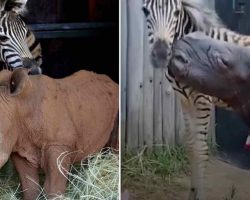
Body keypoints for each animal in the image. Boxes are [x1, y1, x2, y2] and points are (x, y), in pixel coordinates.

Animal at [0, 68, 118, 199]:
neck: (20, 105)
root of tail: (113, 82)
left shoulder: (58, 144)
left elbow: (53, 188)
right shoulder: (21, 147)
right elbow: (29, 187)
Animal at [142, 0, 249, 200]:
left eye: (176, 13)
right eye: (145, 11)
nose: (161, 55)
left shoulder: (202, 100)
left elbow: (200, 150)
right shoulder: (185, 101)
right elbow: (191, 147)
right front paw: (192, 192)